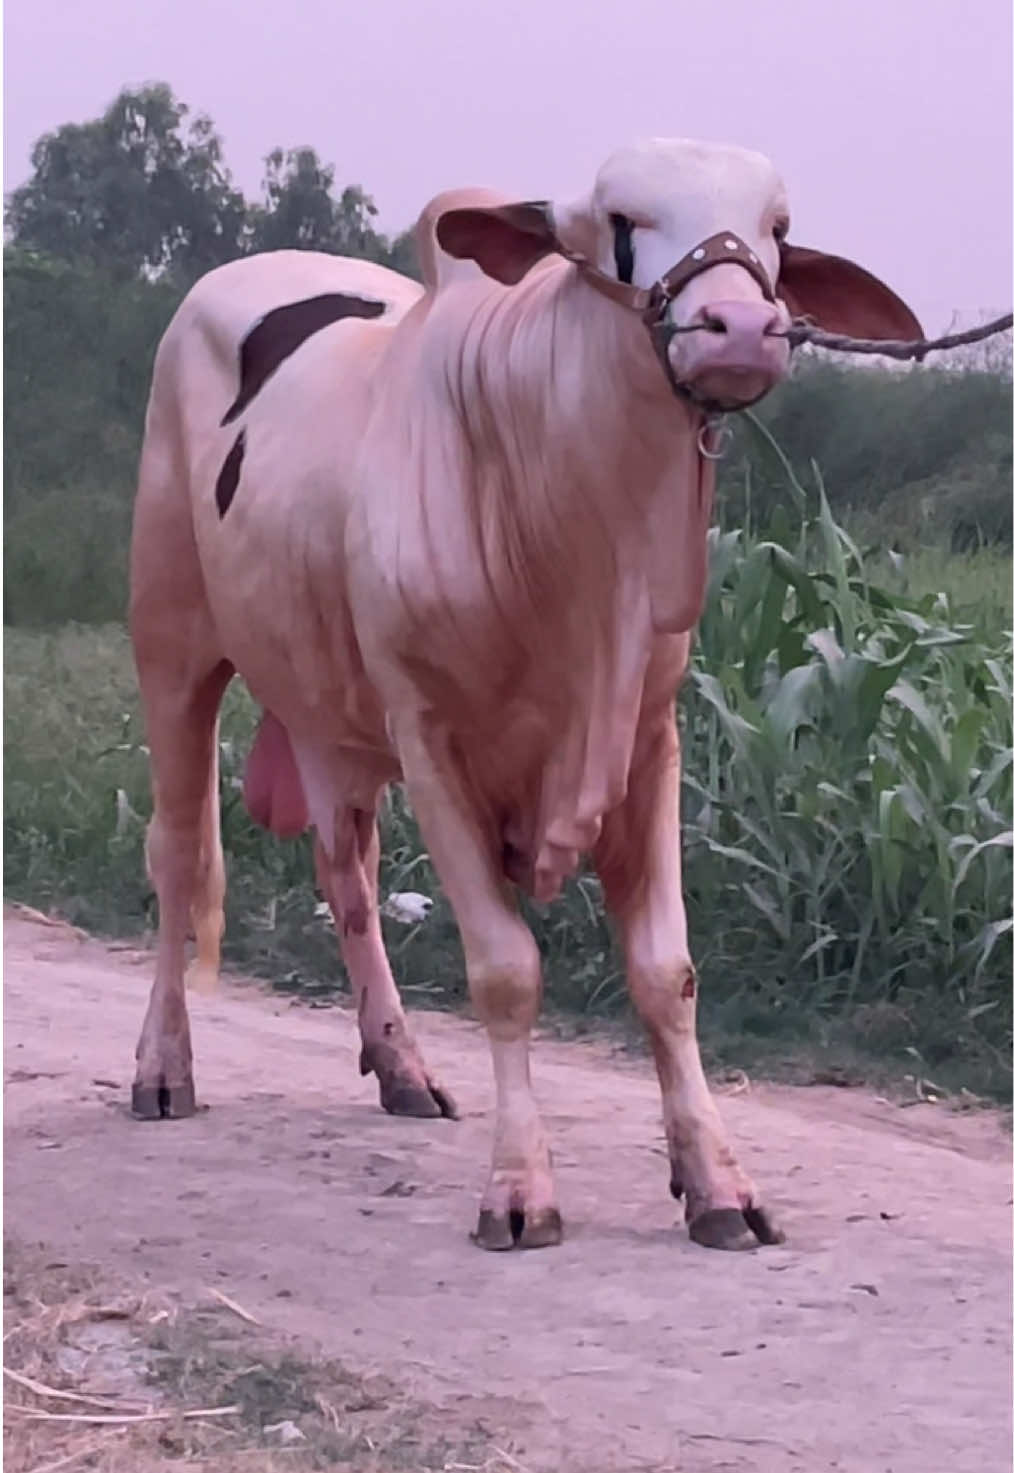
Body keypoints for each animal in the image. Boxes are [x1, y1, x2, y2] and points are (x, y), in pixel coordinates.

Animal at [129, 136, 920, 1252]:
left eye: (776, 231)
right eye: (621, 223)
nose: (743, 328)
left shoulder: (647, 738)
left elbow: (666, 973)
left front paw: (718, 1184)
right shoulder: (431, 738)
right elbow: (506, 971)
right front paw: (519, 1189)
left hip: (330, 711)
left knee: (346, 875)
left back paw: (402, 1064)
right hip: (172, 642)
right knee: (181, 856)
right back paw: (163, 1067)